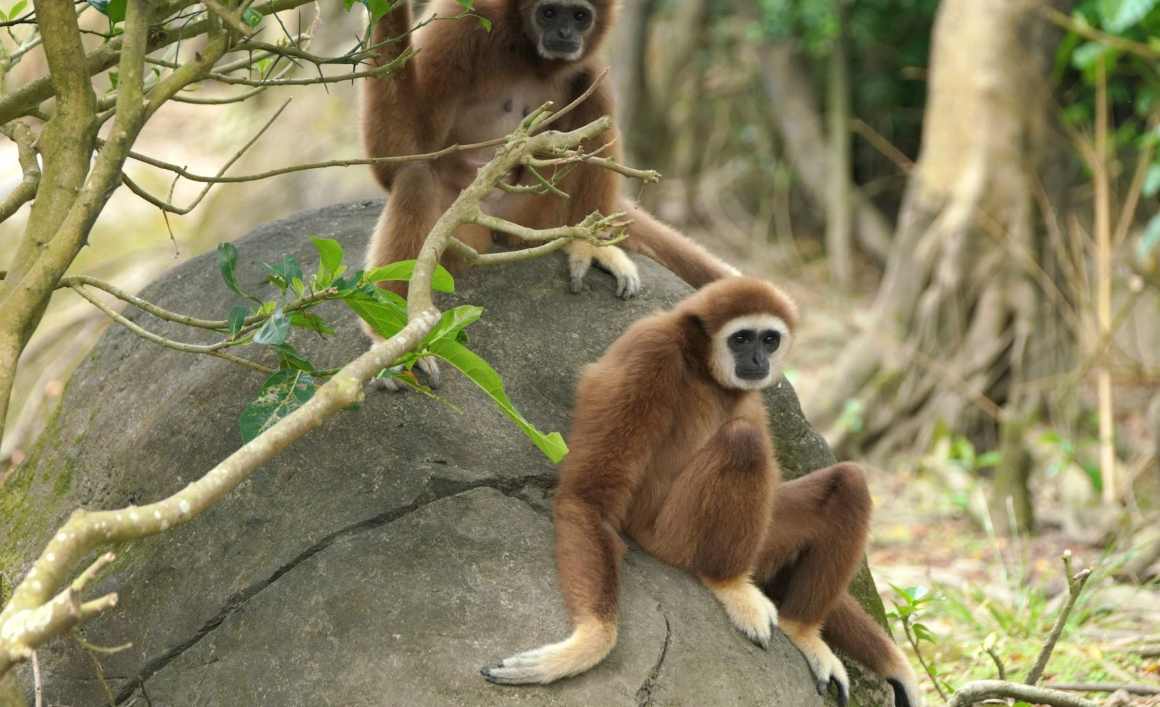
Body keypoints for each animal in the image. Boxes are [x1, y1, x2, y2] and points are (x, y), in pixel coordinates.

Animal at [359, 0, 739, 379]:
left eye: (580, 16)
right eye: (548, 13)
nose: (564, 32)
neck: (526, 52)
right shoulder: (461, 22)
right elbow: (405, 153)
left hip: (540, 214)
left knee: (593, 83)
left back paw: (591, 242)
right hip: (465, 227)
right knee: (417, 177)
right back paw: (393, 342)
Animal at [480, 277, 924, 707]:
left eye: (769, 339)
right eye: (741, 339)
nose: (759, 360)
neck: (701, 366)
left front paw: (896, 665)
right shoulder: (649, 354)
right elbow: (589, 497)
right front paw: (591, 639)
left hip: (761, 543)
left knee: (849, 483)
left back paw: (802, 631)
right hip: (675, 538)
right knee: (743, 442)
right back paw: (731, 586)